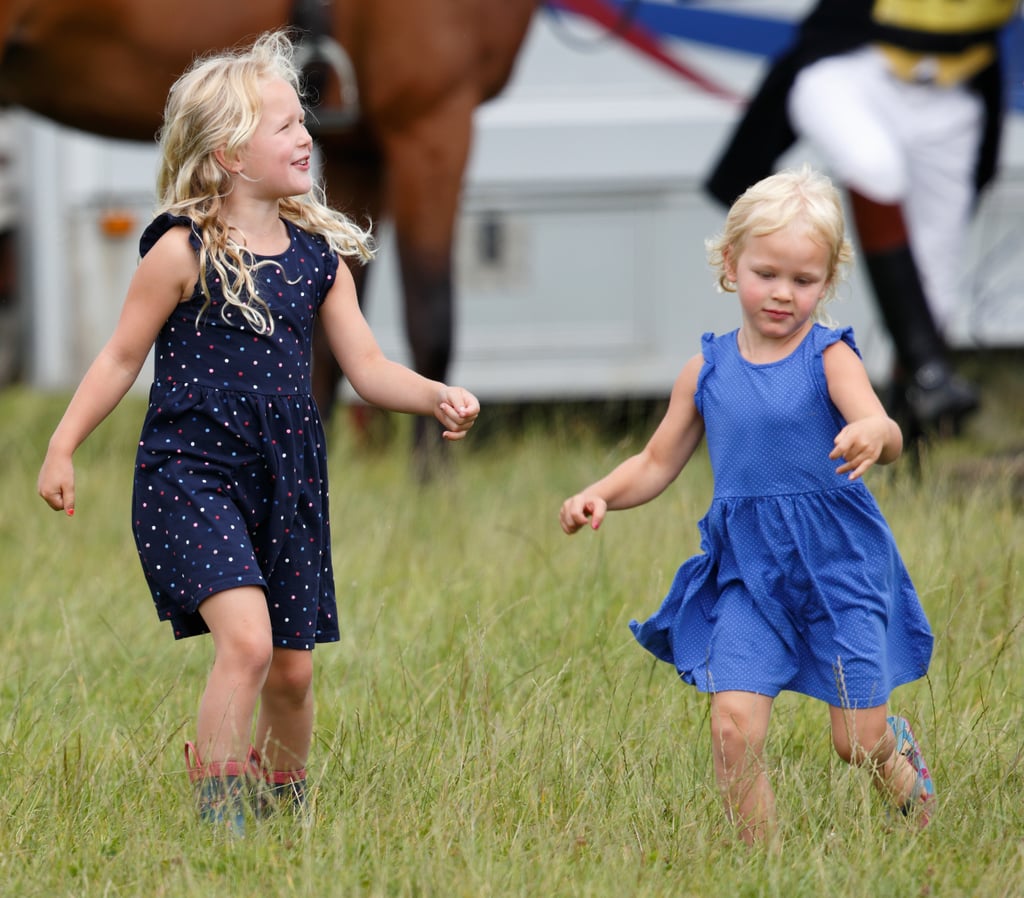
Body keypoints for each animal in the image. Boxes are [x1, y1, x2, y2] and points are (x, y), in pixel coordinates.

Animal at [0, 0, 540, 448]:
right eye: (284, 126)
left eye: (301, 122)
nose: (303, 139)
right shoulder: (429, 119)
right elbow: (431, 319)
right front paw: (435, 485)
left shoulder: (358, 150)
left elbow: (336, 351)